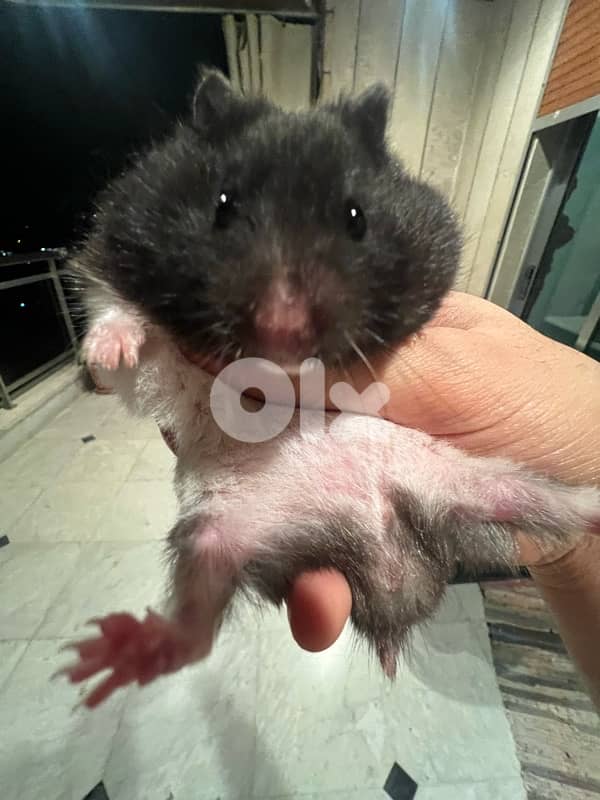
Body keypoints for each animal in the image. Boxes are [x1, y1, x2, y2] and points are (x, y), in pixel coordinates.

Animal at [62, 68, 600, 708]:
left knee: (545, 500)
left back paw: (592, 504)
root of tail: (393, 560)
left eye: (356, 217)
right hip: (213, 538)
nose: (284, 332)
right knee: (193, 635)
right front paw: (106, 351)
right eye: (222, 205)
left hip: (470, 476)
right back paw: (111, 655)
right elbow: (118, 321)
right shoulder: (115, 274)